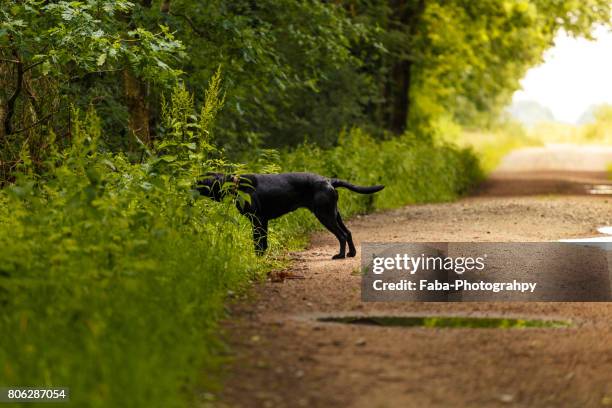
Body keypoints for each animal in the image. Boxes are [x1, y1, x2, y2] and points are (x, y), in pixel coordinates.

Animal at [198, 172, 384, 258]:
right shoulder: (263, 221)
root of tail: (328, 180)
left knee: (342, 235)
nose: (191, 184)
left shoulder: (258, 220)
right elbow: (263, 243)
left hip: (325, 215)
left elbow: (258, 242)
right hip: (334, 213)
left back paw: (340, 256)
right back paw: (351, 253)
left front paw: (257, 258)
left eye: (200, 182)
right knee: (348, 232)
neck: (237, 185)